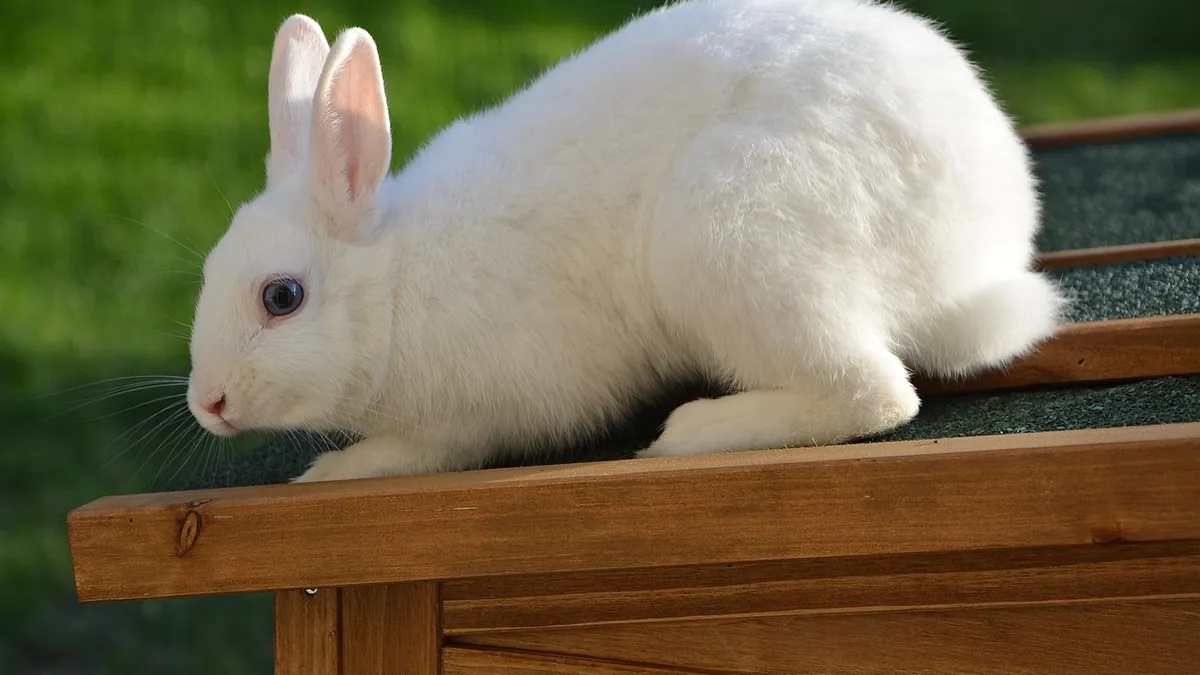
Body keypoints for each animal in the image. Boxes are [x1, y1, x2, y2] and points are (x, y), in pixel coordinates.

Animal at [185, 0, 1065, 484]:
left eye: (282, 297)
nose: (208, 402)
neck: (398, 280)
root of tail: (973, 263)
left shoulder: (487, 411)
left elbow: (422, 449)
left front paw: (334, 468)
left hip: (729, 240)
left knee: (877, 392)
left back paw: (690, 433)